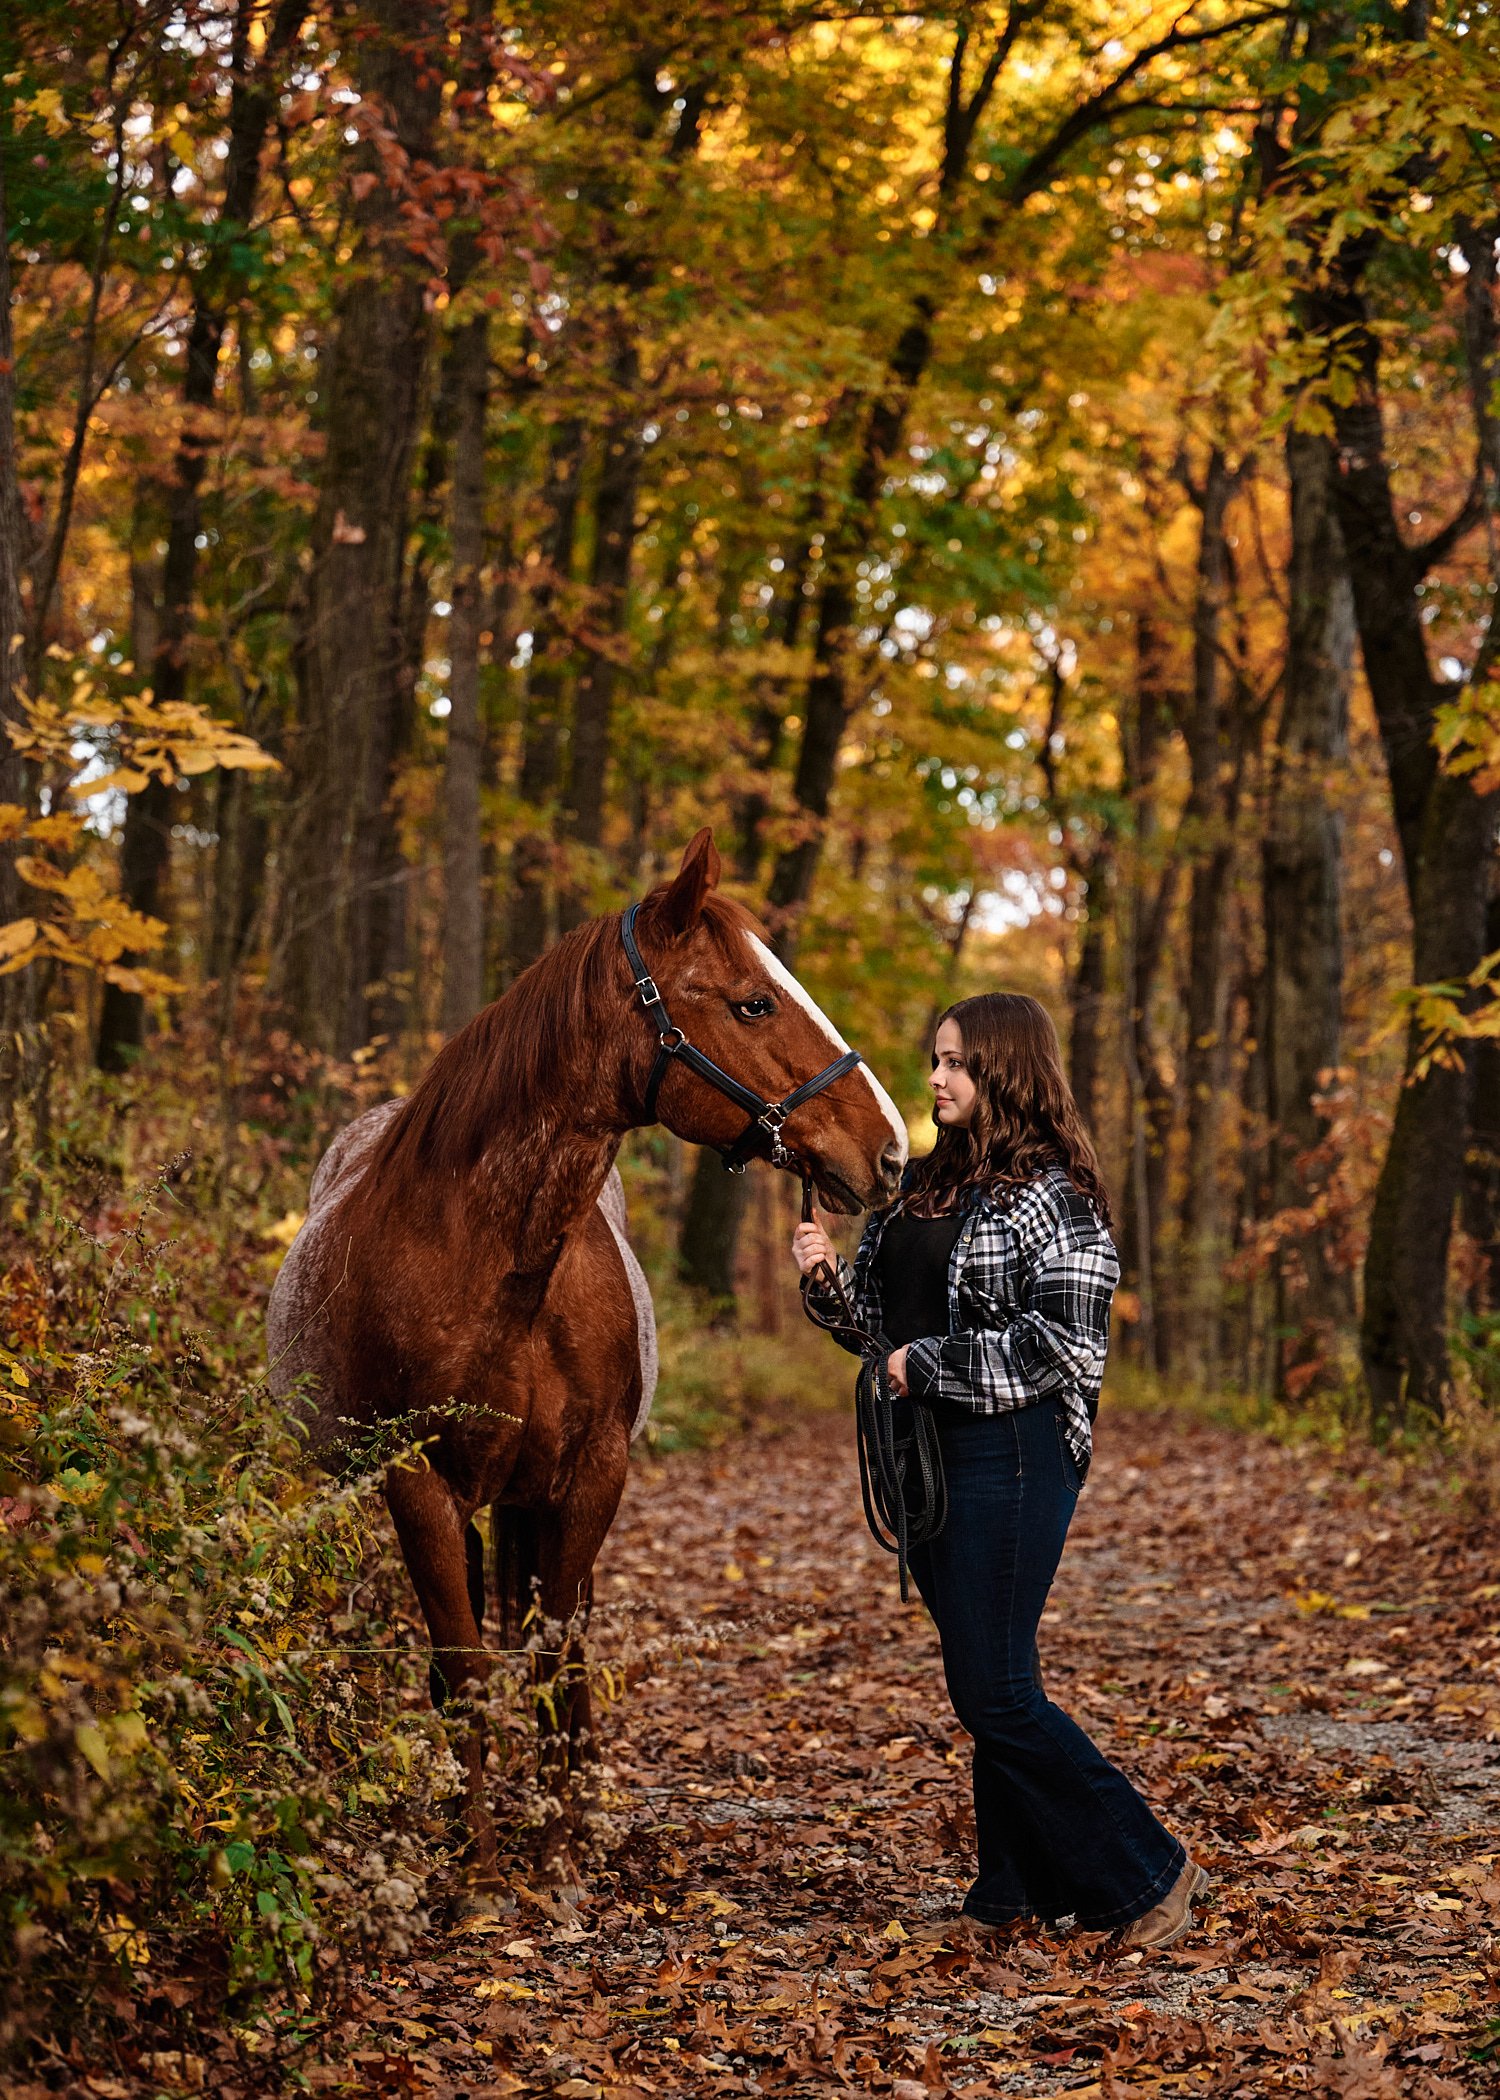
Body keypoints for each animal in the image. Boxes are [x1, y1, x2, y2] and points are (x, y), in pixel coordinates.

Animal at [264, 827, 907, 1898]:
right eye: (753, 1002)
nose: (892, 1150)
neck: (489, 1264)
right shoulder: (419, 1485)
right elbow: (467, 1666)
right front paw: (482, 1873)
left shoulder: (592, 1475)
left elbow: (558, 1655)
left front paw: (560, 1852)